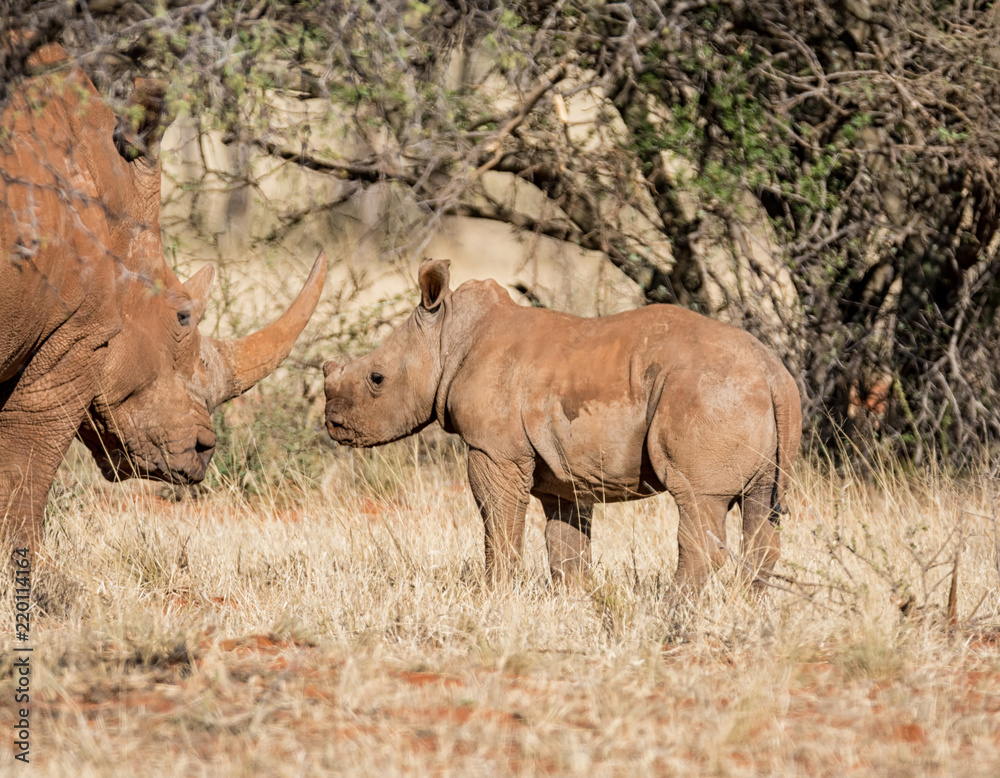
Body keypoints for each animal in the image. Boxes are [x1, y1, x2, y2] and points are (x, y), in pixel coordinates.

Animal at [323, 260, 801, 596]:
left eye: (377, 379)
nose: (332, 424)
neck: (448, 335)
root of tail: (772, 372)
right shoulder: (563, 471)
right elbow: (566, 546)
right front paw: (571, 601)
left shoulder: (494, 451)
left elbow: (498, 525)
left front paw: (494, 595)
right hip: (751, 398)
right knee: (761, 508)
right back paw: (748, 609)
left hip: (706, 392)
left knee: (698, 500)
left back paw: (673, 613)